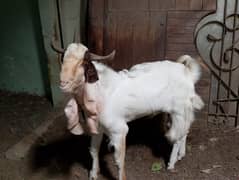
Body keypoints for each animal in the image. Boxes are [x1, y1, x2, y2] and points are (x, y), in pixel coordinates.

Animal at [59, 43, 204, 180]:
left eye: (84, 64)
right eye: (63, 59)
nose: (63, 83)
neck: (102, 92)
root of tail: (188, 72)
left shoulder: (119, 130)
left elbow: (119, 161)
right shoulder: (97, 127)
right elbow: (94, 151)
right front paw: (94, 174)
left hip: (179, 111)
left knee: (177, 136)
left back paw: (171, 164)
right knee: (184, 131)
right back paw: (181, 155)